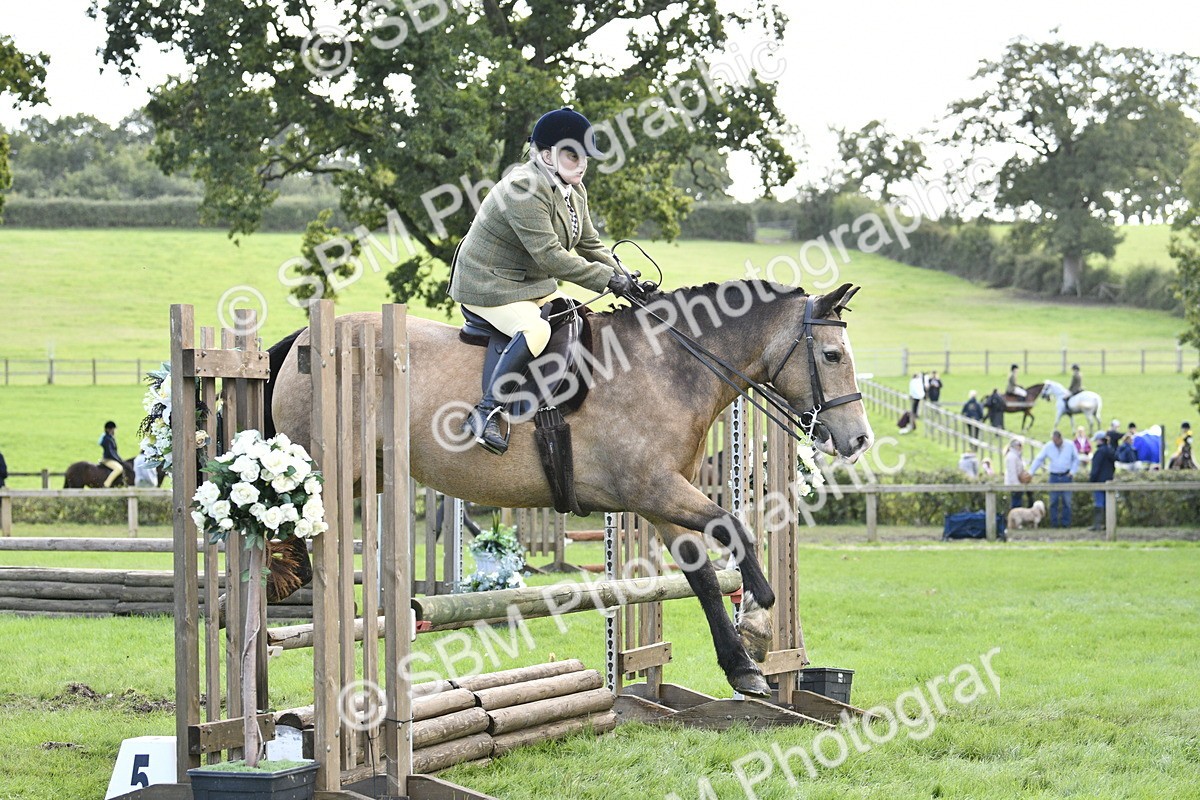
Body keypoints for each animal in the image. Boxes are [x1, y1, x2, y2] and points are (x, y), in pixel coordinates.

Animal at [265, 280, 874, 698]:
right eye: (832, 356)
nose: (859, 439)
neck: (673, 367)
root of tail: (303, 342)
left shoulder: (658, 501)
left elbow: (702, 575)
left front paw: (744, 665)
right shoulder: (654, 489)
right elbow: (734, 528)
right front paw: (760, 616)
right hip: (333, 473)